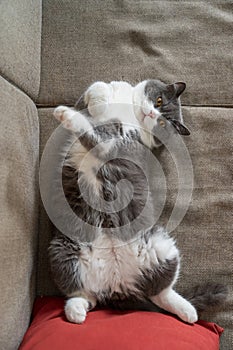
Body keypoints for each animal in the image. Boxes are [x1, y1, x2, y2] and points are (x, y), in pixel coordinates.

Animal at [48, 80, 227, 326]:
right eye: (159, 101)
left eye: (162, 123)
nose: (151, 113)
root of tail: (118, 286)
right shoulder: (88, 104)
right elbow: (96, 88)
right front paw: (99, 101)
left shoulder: (119, 145)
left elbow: (92, 134)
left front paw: (66, 113)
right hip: (61, 251)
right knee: (84, 294)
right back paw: (76, 313)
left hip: (162, 244)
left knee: (161, 292)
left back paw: (189, 312)